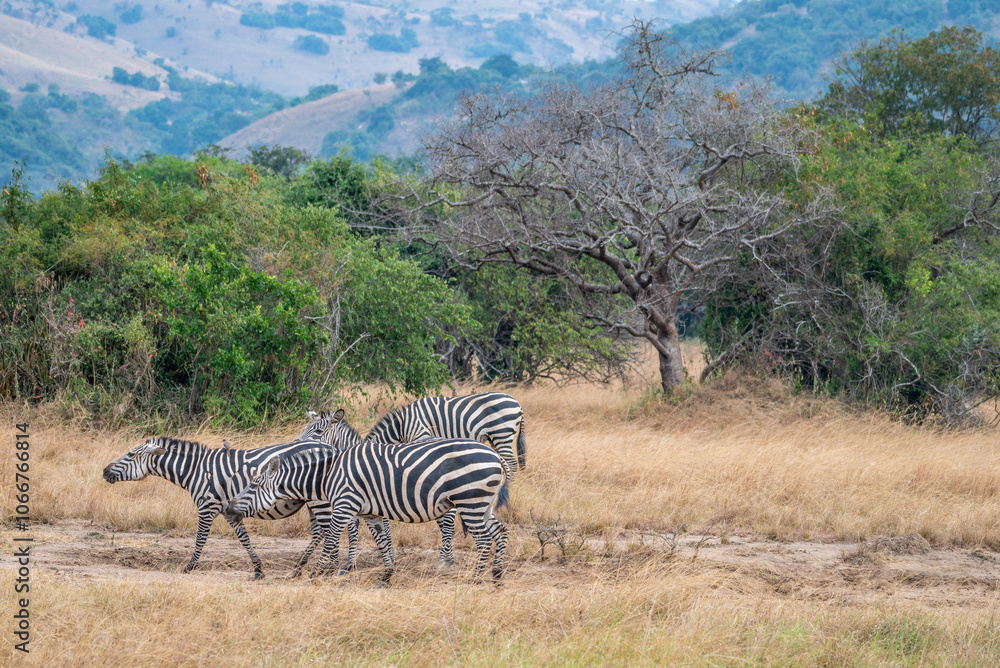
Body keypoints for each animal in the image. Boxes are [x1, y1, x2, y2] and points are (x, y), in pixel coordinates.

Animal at [102, 431, 343, 580]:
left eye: (130, 454)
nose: (104, 471)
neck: (195, 470)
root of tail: (330, 447)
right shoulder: (228, 511)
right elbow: (244, 539)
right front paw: (258, 570)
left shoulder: (206, 507)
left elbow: (200, 539)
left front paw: (189, 567)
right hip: (313, 500)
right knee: (322, 531)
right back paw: (303, 568)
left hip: (319, 500)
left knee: (329, 529)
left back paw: (329, 568)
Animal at [223, 412, 510, 584]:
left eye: (254, 484)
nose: (228, 509)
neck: (330, 472)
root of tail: (496, 456)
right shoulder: (371, 510)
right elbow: (380, 541)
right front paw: (385, 574)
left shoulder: (346, 507)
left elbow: (335, 539)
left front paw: (322, 572)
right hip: (482, 505)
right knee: (500, 531)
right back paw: (496, 575)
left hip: (470, 502)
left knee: (481, 538)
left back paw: (471, 576)